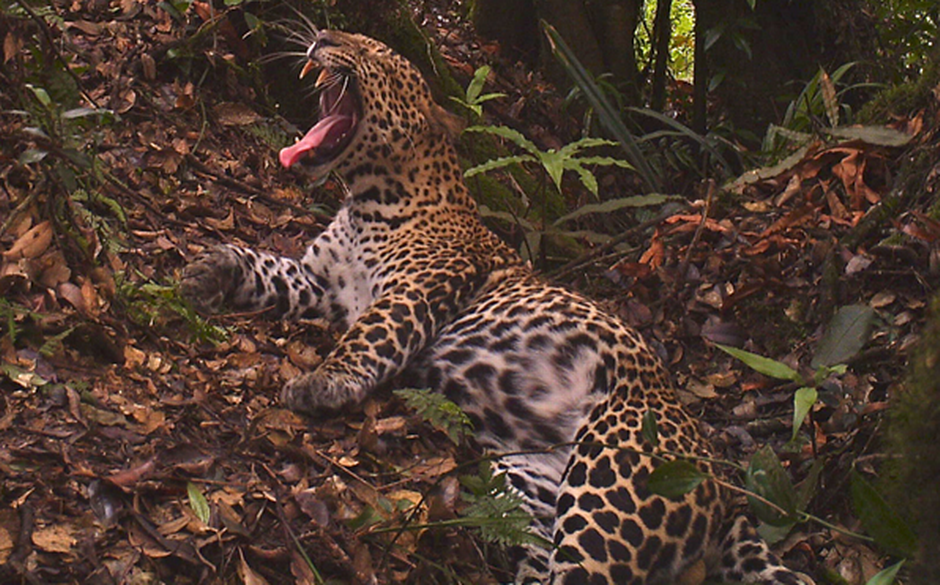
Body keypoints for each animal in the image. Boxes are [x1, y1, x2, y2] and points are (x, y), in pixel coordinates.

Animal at [180, 28, 813, 585]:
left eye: (374, 51)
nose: (320, 39)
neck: (367, 199)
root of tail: (724, 486)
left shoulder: (416, 289)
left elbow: (368, 337)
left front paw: (320, 384)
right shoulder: (321, 283)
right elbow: (266, 266)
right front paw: (209, 270)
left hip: (620, 474)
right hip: (529, 476)